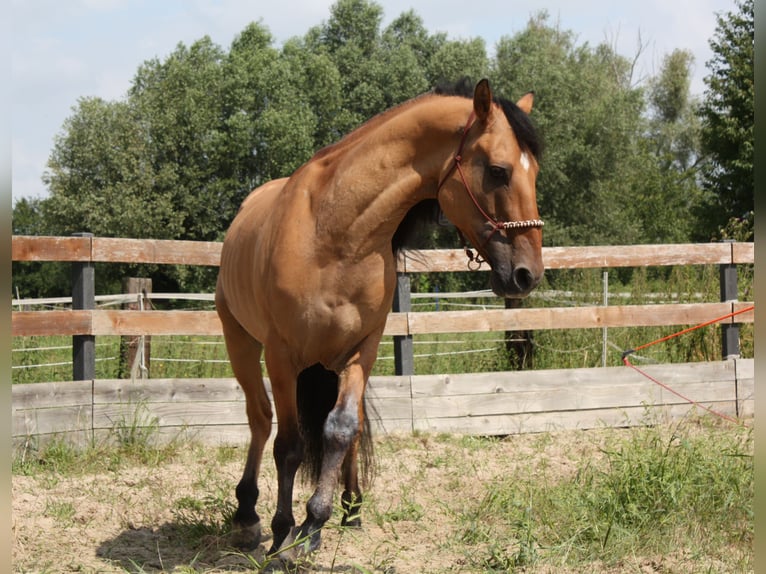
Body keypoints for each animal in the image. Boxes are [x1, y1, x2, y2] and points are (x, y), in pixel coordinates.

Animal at [216, 77, 544, 564]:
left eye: (534, 172)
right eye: (499, 171)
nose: (527, 275)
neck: (334, 235)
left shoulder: (362, 351)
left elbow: (340, 430)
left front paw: (315, 523)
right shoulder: (281, 356)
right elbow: (289, 446)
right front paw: (283, 535)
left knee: (343, 428)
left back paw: (349, 508)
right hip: (241, 343)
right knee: (259, 419)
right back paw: (247, 515)